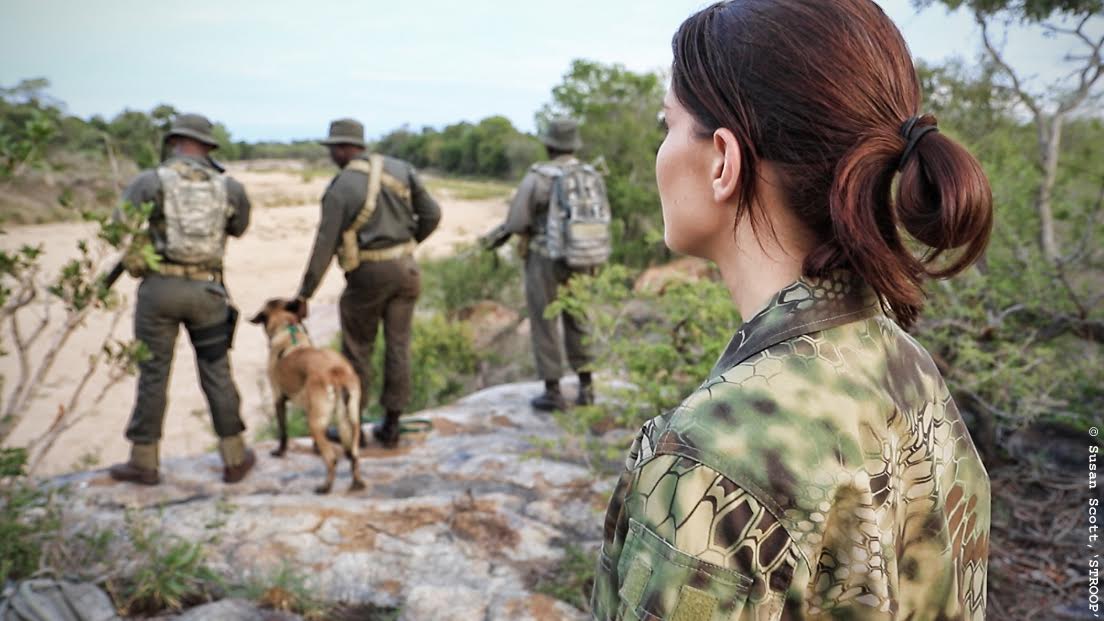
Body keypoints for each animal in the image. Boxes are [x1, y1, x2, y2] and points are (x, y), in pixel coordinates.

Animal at [248, 298, 364, 490]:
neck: (287, 329)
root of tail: (336, 371)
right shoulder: (309, 407)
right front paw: (316, 449)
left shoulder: (278, 398)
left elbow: (283, 432)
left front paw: (280, 452)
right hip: (351, 418)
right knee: (354, 454)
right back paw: (357, 482)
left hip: (315, 423)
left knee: (332, 459)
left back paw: (325, 487)